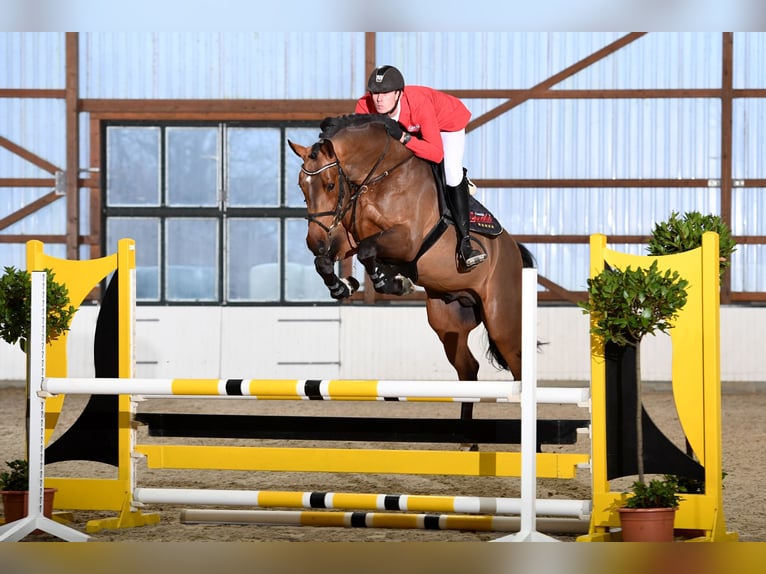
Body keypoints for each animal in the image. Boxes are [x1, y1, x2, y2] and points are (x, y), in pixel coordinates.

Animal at [288, 116, 536, 424]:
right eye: (301, 186)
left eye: (330, 184)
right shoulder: (347, 237)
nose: (314, 242)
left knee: (518, 366)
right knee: (468, 370)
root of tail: (514, 251)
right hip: (448, 321)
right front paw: (344, 285)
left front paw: (391, 281)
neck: (377, 176)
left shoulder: (408, 239)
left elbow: (368, 250)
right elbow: (327, 261)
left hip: (502, 322)